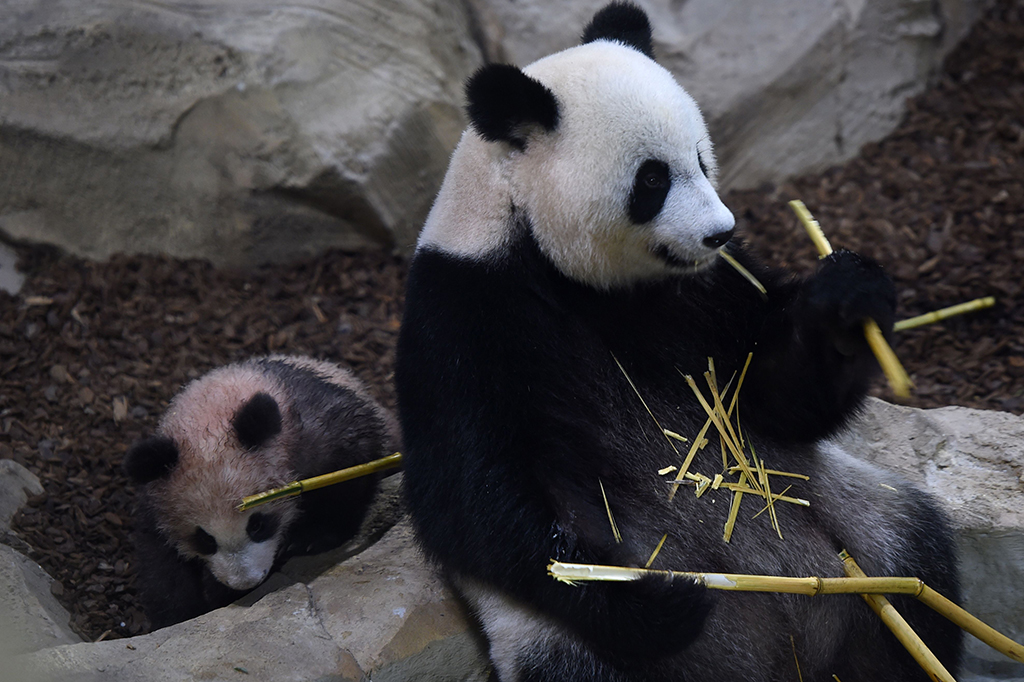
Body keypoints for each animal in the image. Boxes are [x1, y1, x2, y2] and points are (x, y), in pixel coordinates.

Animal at [124, 354, 399, 629]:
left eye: (257, 524)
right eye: (205, 538)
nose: (246, 582)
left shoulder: (320, 426)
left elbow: (350, 472)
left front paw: (310, 538)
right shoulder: (156, 497)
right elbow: (161, 562)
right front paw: (181, 612)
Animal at [395, 3, 962, 681]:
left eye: (701, 156)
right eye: (652, 180)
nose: (720, 233)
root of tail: (782, 650)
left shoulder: (702, 295)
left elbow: (774, 396)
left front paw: (848, 299)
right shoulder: (466, 317)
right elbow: (469, 498)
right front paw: (654, 601)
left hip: (855, 529)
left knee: (916, 570)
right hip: (558, 645)